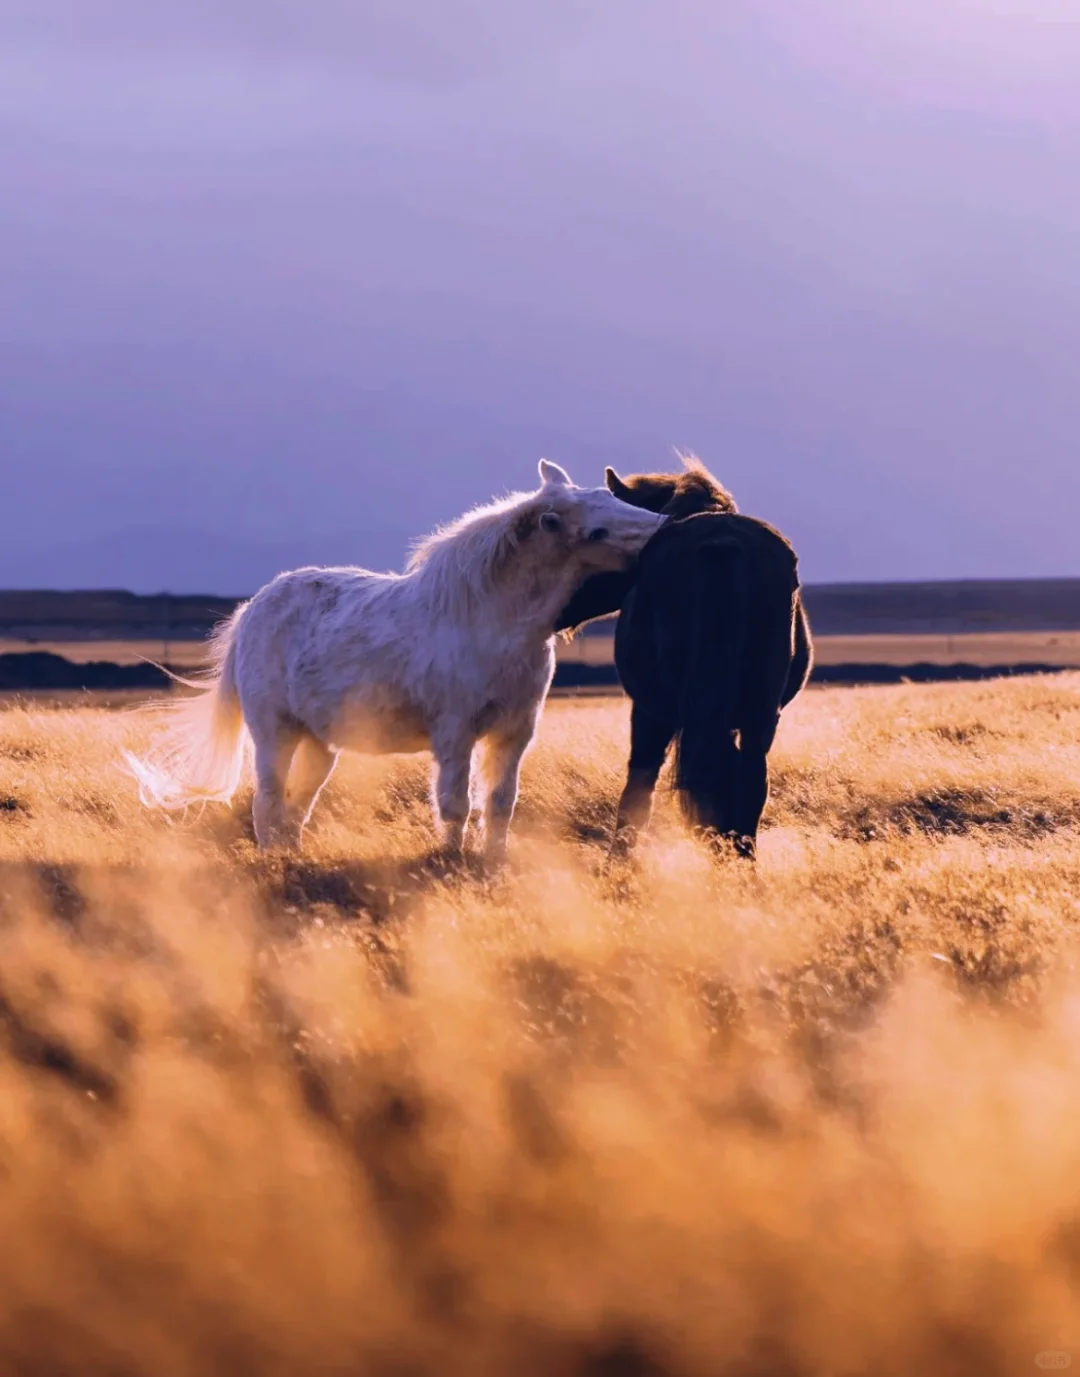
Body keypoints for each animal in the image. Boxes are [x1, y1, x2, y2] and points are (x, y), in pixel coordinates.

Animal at [127, 457, 666, 853]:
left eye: (609, 498)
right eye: (596, 531)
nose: (664, 525)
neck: (489, 620)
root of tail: (252, 610)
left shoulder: (513, 735)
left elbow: (498, 804)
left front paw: (492, 865)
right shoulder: (455, 735)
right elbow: (454, 804)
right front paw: (451, 863)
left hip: (319, 744)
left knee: (296, 808)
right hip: (274, 734)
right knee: (268, 802)